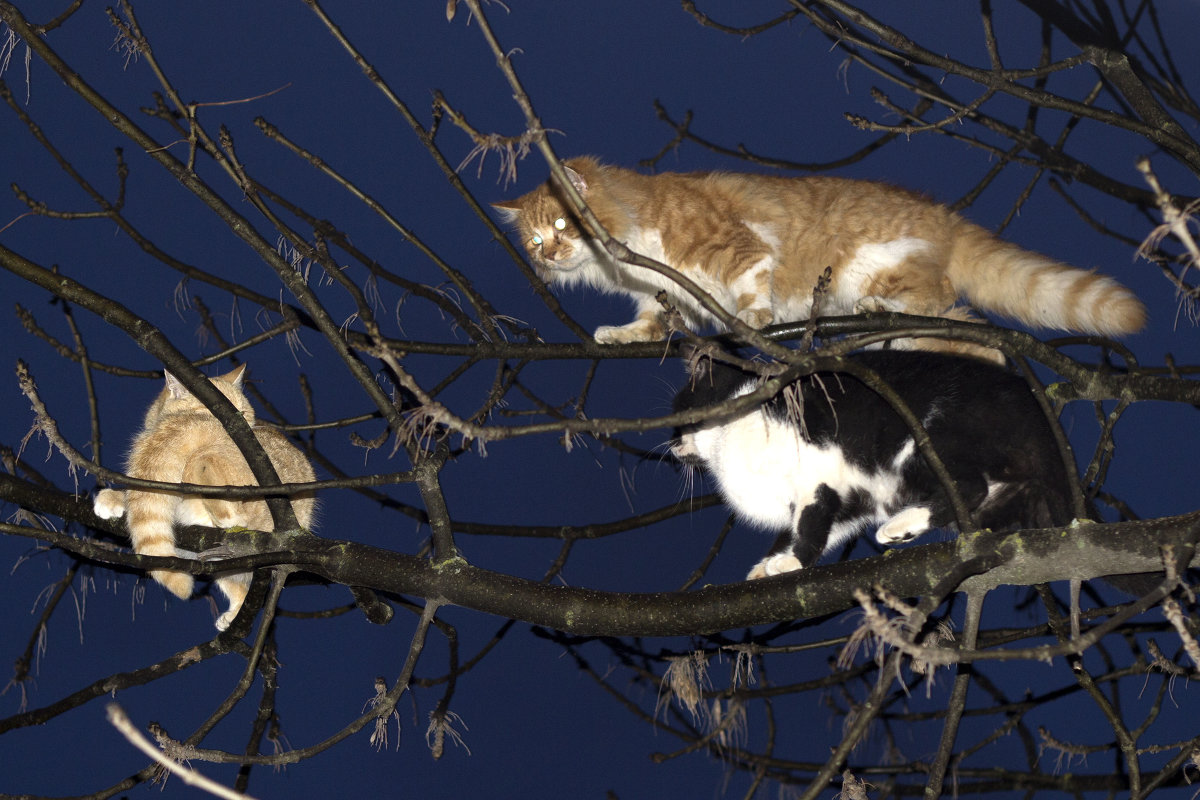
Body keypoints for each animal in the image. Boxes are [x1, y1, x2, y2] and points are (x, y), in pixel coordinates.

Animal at [492, 159, 1147, 359]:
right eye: (535, 241)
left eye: (562, 225)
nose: (551, 253)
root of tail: (942, 213)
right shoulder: (662, 293)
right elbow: (651, 321)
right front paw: (623, 334)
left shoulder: (738, 249)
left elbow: (750, 289)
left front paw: (753, 319)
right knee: (961, 326)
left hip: (867, 265)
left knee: (937, 297)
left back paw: (881, 305)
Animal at [672, 347, 1075, 578]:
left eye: (679, 414)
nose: (672, 446)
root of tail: (1041, 422)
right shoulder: (851, 499)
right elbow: (821, 528)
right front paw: (767, 567)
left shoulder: (816, 471)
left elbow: (809, 526)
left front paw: (790, 563)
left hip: (923, 440)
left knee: (970, 485)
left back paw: (896, 528)